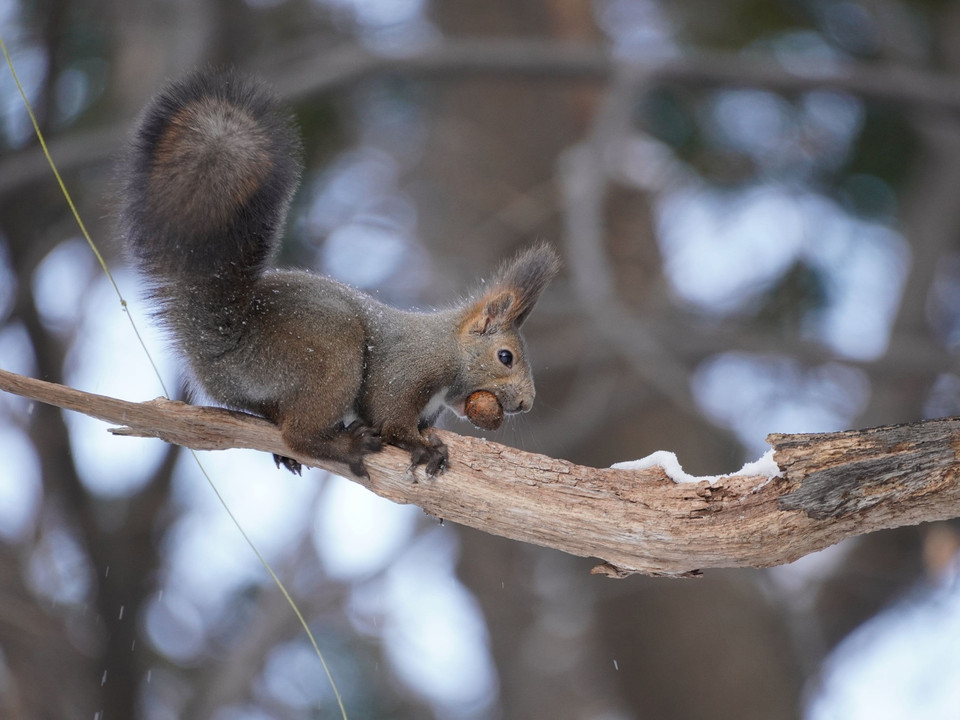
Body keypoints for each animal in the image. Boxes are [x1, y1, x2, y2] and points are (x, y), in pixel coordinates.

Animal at [118, 70, 564, 478]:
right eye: (505, 356)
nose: (525, 403)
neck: (449, 348)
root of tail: (227, 339)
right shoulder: (408, 370)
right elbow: (391, 418)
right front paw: (424, 448)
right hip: (331, 352)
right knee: (298, 433)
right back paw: (345, 447)